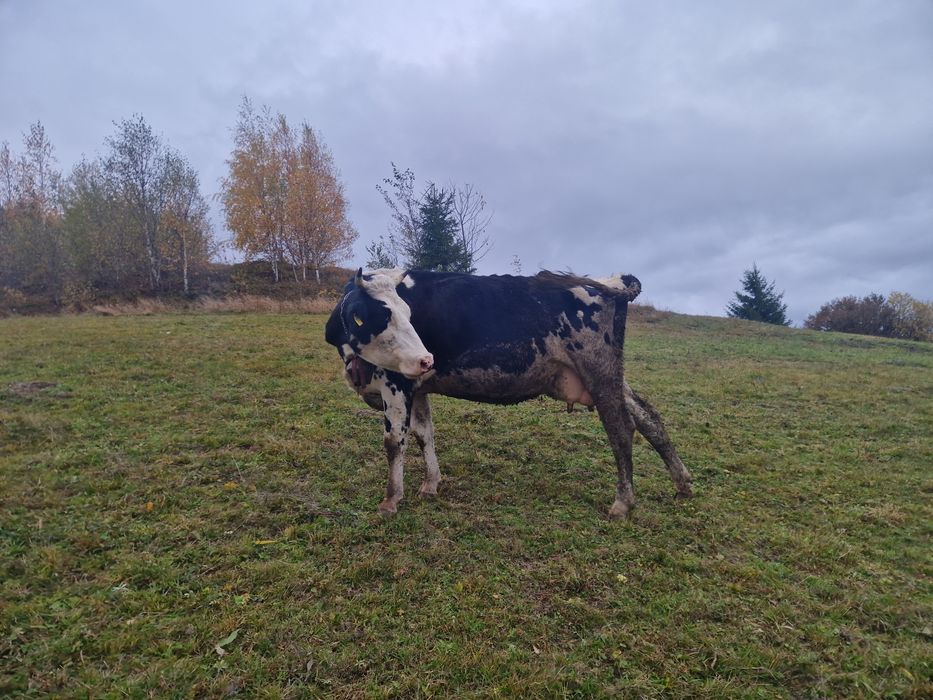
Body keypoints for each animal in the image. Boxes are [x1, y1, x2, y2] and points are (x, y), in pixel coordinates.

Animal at [324, 267, 693, 520]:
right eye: (384, 315)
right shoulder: (419, 385)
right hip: (610, 376)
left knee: (621, 429)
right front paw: (431, 484)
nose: (426, 358)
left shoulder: (396, 382)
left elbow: (394, 442)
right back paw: (682, 483)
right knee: (648, 416)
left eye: (409, 314)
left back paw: (623, 502)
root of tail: (609, 281)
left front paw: (391, 500)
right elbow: (424, 434)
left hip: (599, 372)